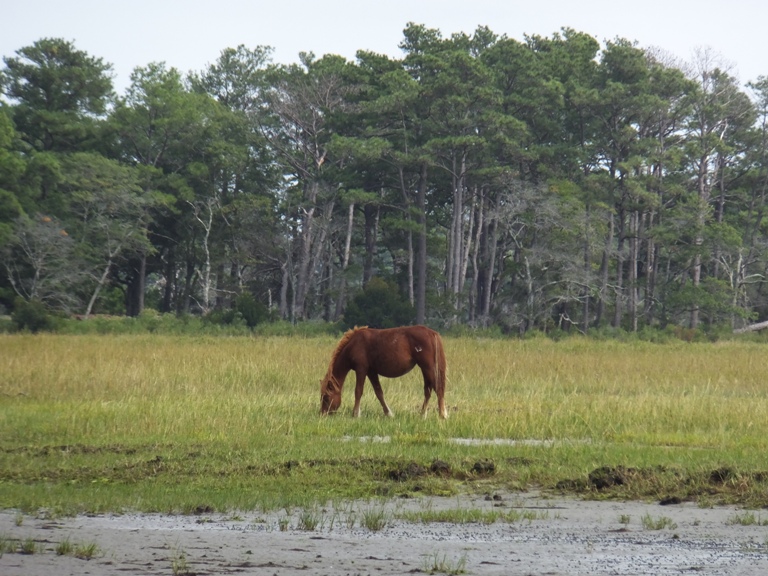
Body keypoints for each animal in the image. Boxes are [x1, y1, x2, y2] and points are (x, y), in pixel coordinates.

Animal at [320, 324, 450, 418]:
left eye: (326, 397)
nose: (322, 414)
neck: (354, 344)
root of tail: (432, 333)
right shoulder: (371, 372)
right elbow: (379, 393)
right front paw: (389, 414)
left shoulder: (361, 369)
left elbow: (358, 391)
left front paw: (355, 414)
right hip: (425, 369)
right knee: (428, 391)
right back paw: (422, 415)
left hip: (429, 368)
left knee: (438, 388)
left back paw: (442, 415)